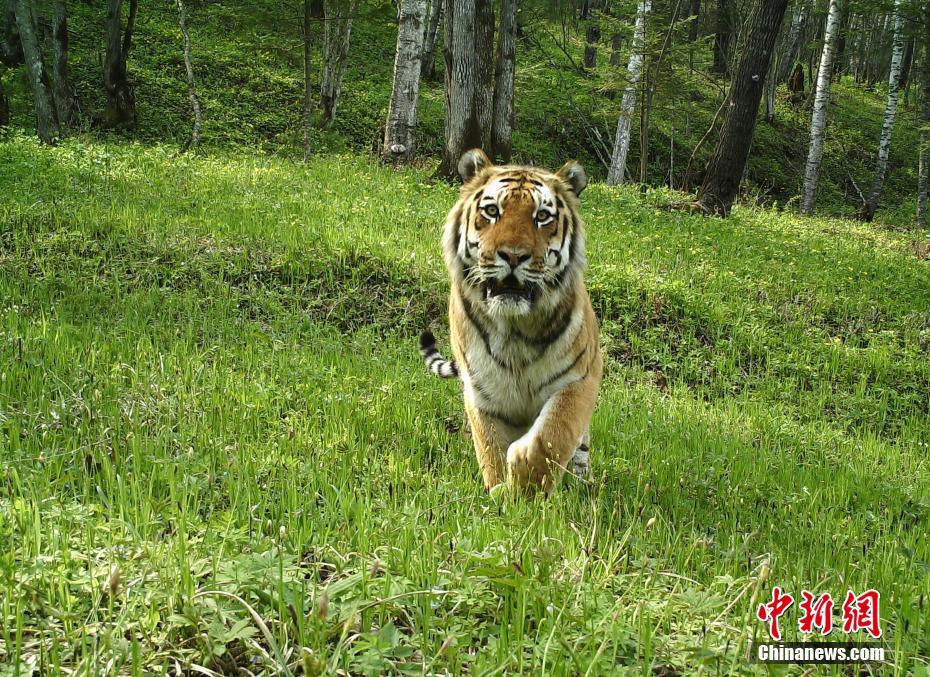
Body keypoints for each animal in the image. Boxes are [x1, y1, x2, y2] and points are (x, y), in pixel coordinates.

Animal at [420, 149, 600, 496]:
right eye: (492, 211)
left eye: (542, 216)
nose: (514, 256)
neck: (515, 329)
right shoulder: (482, 391)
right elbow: (489, 446)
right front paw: (501, 493)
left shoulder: (579, 379)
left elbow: (553, 434)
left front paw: (527, 485)